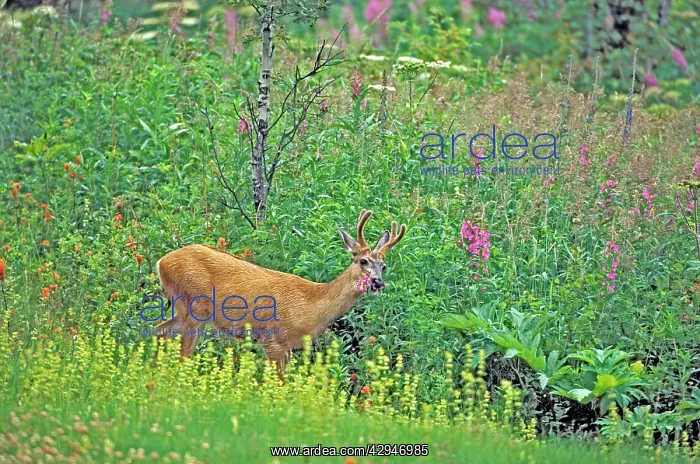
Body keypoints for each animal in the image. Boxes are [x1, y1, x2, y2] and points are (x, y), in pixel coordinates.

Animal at [154, 209, 406, 374]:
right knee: (181, 351)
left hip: (183, 309)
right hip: (193, 307)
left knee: (160, 330)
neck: (311, 305)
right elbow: (280, 382)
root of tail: (161, 262)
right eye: (363, 261)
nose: (378, 282)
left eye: (383, 266)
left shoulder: (288, 347)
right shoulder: (273, 339)